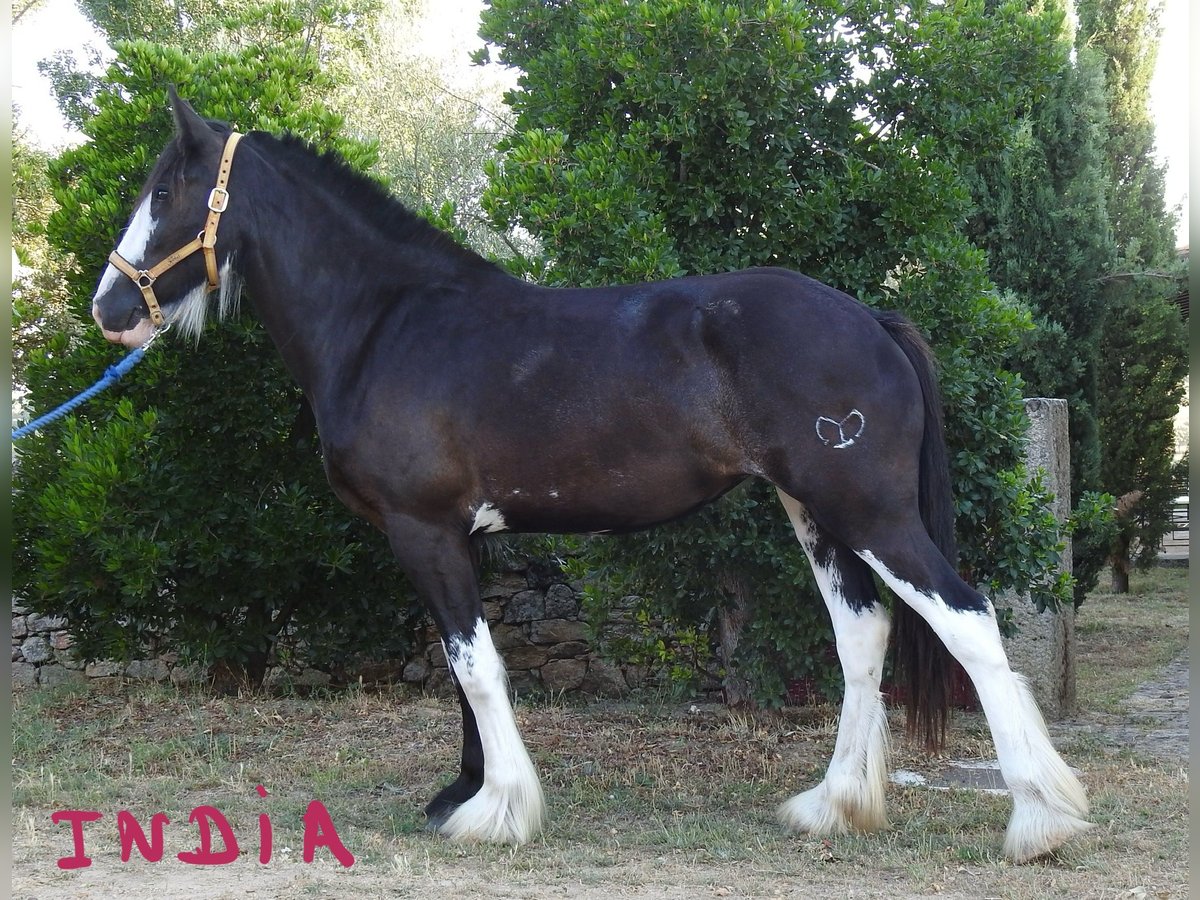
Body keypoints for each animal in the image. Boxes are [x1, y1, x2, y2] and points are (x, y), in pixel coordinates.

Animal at [88, 93, 1094, 868]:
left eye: (167, 189)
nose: (108, 308)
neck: (390, 324)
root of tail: (870, 318)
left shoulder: (422, 530)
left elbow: (477, 667)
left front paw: (497, 811)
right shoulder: (461, 538)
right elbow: (465, 665)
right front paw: (465, 791)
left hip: (870, 510)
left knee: (969, 621)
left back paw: (1039, 821)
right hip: (815, 513)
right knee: (863, 637)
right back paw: (833, 806)